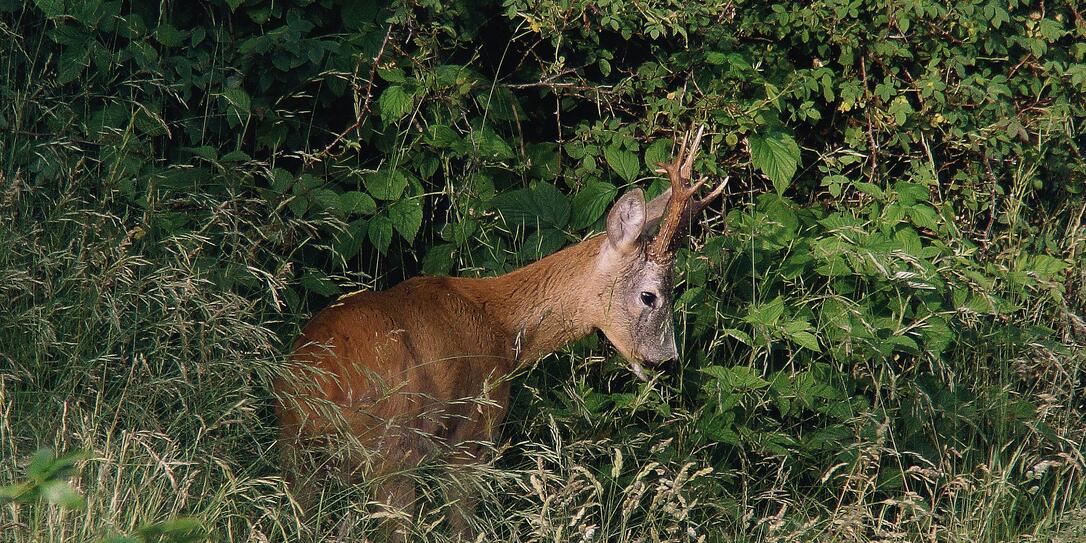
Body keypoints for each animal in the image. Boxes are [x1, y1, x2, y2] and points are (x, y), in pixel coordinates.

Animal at [275, 125, 725, 538]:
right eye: (651, 295)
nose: (667, 360)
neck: (504, 329)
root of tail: (315, 387)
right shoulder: (474, 433)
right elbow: (463, 526)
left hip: (296, 453)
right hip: (391, 447)